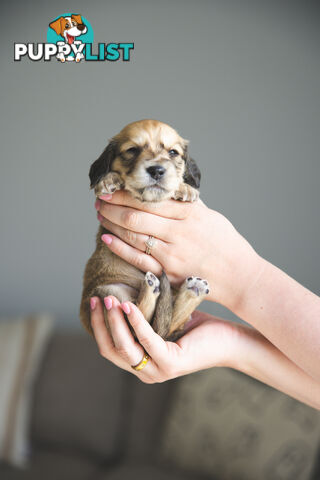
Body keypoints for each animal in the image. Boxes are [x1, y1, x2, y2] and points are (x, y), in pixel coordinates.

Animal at [80, 118, 210, 340]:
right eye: (132, 150)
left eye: (173, 152)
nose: (157, 170)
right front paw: (109, 179)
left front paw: (185, 188)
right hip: (109, 292)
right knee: (142, 322)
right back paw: (154, 288)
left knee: (164, 324)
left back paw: (192, 290)